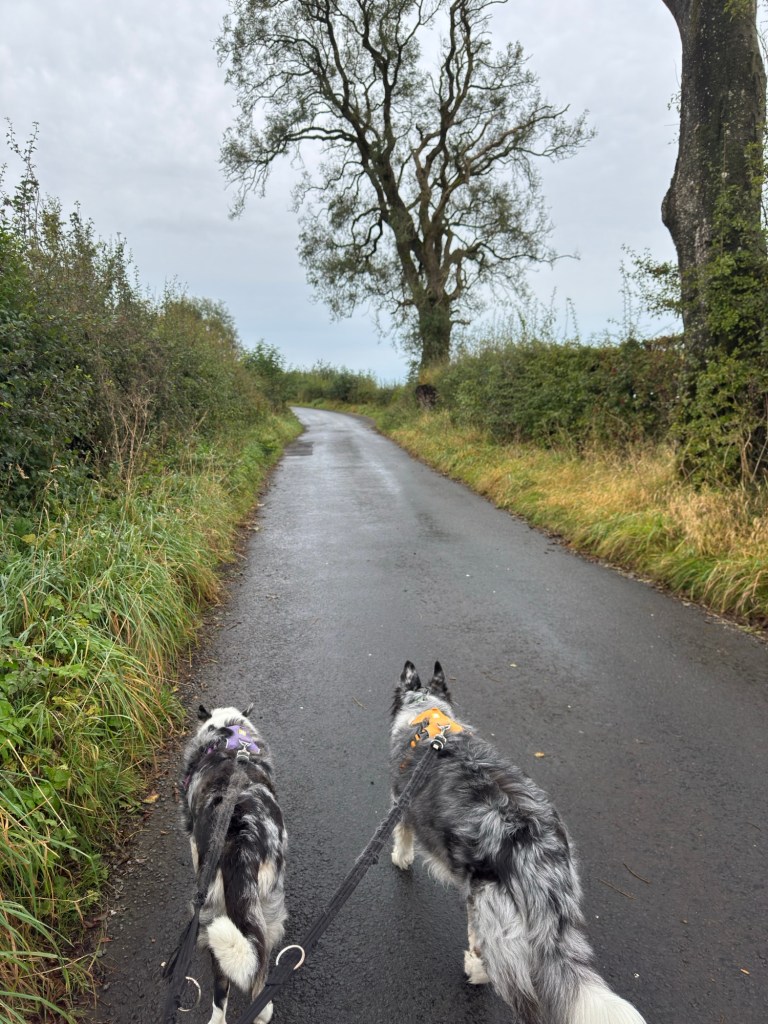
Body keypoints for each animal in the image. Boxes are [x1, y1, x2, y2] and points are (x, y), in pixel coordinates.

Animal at [180, 705, 287, 1024]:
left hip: (215, 912)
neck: (229, 736)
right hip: (261, 912)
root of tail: (239, 841)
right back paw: (262, 1009)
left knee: (224, 987)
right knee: (255, 970)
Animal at [389, 661, 647, 1024]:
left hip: (488, 914)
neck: (427, 713)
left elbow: (402, 837)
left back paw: (474, 970)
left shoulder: (400, 804)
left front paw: (400, 858)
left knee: (495, 967)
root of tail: (535, 856)